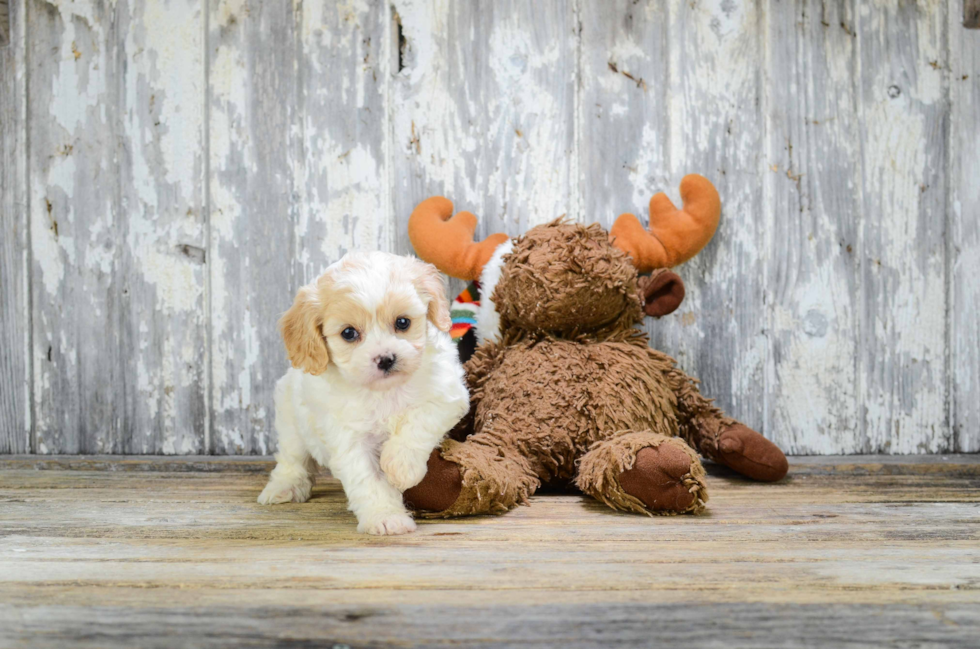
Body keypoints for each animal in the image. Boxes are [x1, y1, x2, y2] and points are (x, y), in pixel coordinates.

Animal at [256, 251, 470, 536]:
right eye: (349, 333)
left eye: (403, 322)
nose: (386, 359)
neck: (384, 391)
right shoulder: (349, 437)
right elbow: (369, 480)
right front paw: (386, 517)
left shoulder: (448, 394)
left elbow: (420, 421)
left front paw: (400, 466)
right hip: (290, 418)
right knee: (292, 459)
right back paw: (284, 487)